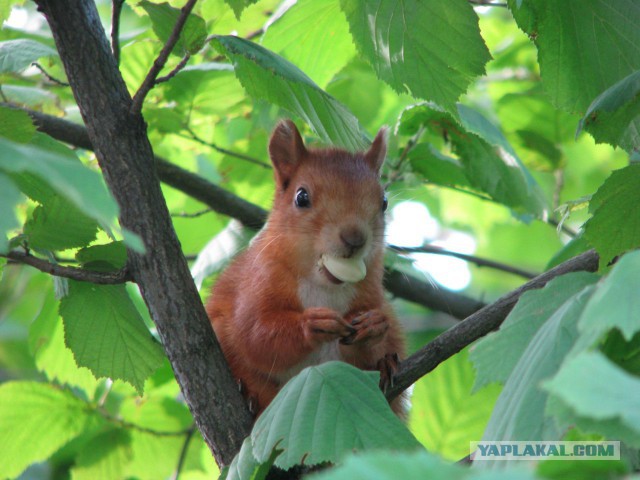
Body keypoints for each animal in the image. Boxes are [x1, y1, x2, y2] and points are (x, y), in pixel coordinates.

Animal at [205, 120, 404, 416]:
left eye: (384, 202)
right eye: (301, 197)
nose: (355, 238)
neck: (323, 286)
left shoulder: (371, 294)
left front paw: (374, 326)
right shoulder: (254, 285)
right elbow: (255, 335)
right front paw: (312, 324)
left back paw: (386, 364)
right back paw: (249, 393)